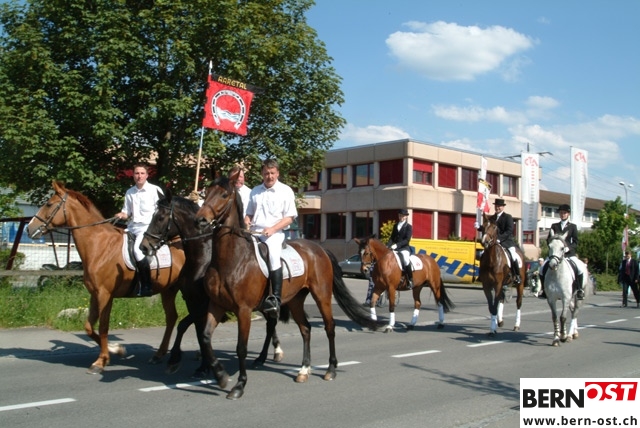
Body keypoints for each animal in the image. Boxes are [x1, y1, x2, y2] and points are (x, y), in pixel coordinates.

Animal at [26, 180, 185, 374]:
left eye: (49, 204)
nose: (29, 228)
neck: (99, 245)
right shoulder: (95, 294)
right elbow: (88, 327)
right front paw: (116, 349)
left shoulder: (105, 294)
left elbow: (103, 327)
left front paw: (100, 361)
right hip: (168, 290)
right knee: (171, 318)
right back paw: (159, 355)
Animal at [139, 189, 285, 375]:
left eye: (160, 217)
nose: (144, 246)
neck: (202, 257)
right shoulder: (193, 302)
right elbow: (194, 330)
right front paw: (202, 363)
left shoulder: (203, 304)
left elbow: (188, 327)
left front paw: (187, 361)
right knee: (271, 322)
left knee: (271, 322)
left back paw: (271, 354)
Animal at [193, 175, 383, 400]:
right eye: (206, 192)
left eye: (223, 194)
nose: (200, 220)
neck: (230, 260)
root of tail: (319, 249)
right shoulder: (216, 305)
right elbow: (205, 337)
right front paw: (220, 375)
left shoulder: (243, 310)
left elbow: (241, 347)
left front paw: (239, 385)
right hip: (295, 300)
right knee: (305, 329)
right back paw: (303, 370)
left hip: (322, 296)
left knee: (329, 327)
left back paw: (330, 369)